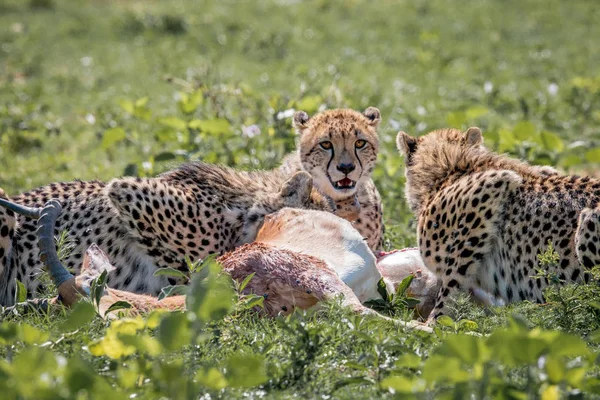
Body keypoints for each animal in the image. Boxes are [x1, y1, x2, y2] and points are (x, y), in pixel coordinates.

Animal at [396, 126, 596, 320]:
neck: (453, 166)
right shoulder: (544, 170)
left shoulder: (494, 184)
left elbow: (450, 286)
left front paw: (433, 322)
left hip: (589, 219)